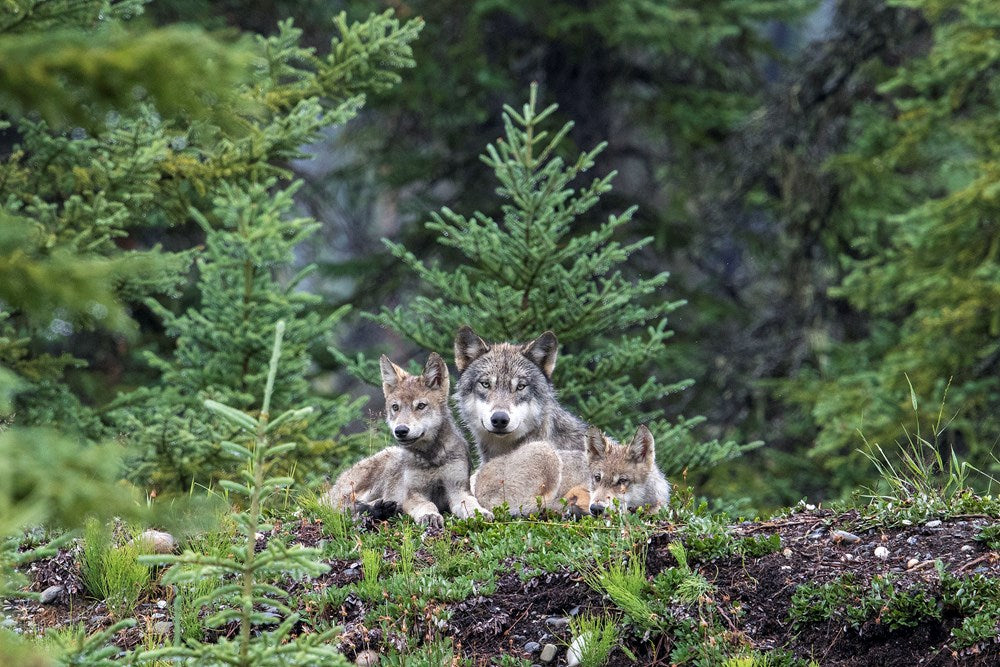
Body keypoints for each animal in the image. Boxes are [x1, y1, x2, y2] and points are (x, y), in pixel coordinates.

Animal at [322, 352, 491, 528]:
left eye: (421, 406)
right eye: (395, 407)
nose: (401, 430)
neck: (431, 458)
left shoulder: (458, 490)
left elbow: (470, 504)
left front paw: (480, 513)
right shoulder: (414, 495)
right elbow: (428, 505)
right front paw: (430, 516)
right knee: (345, 505)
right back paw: (378, 508)